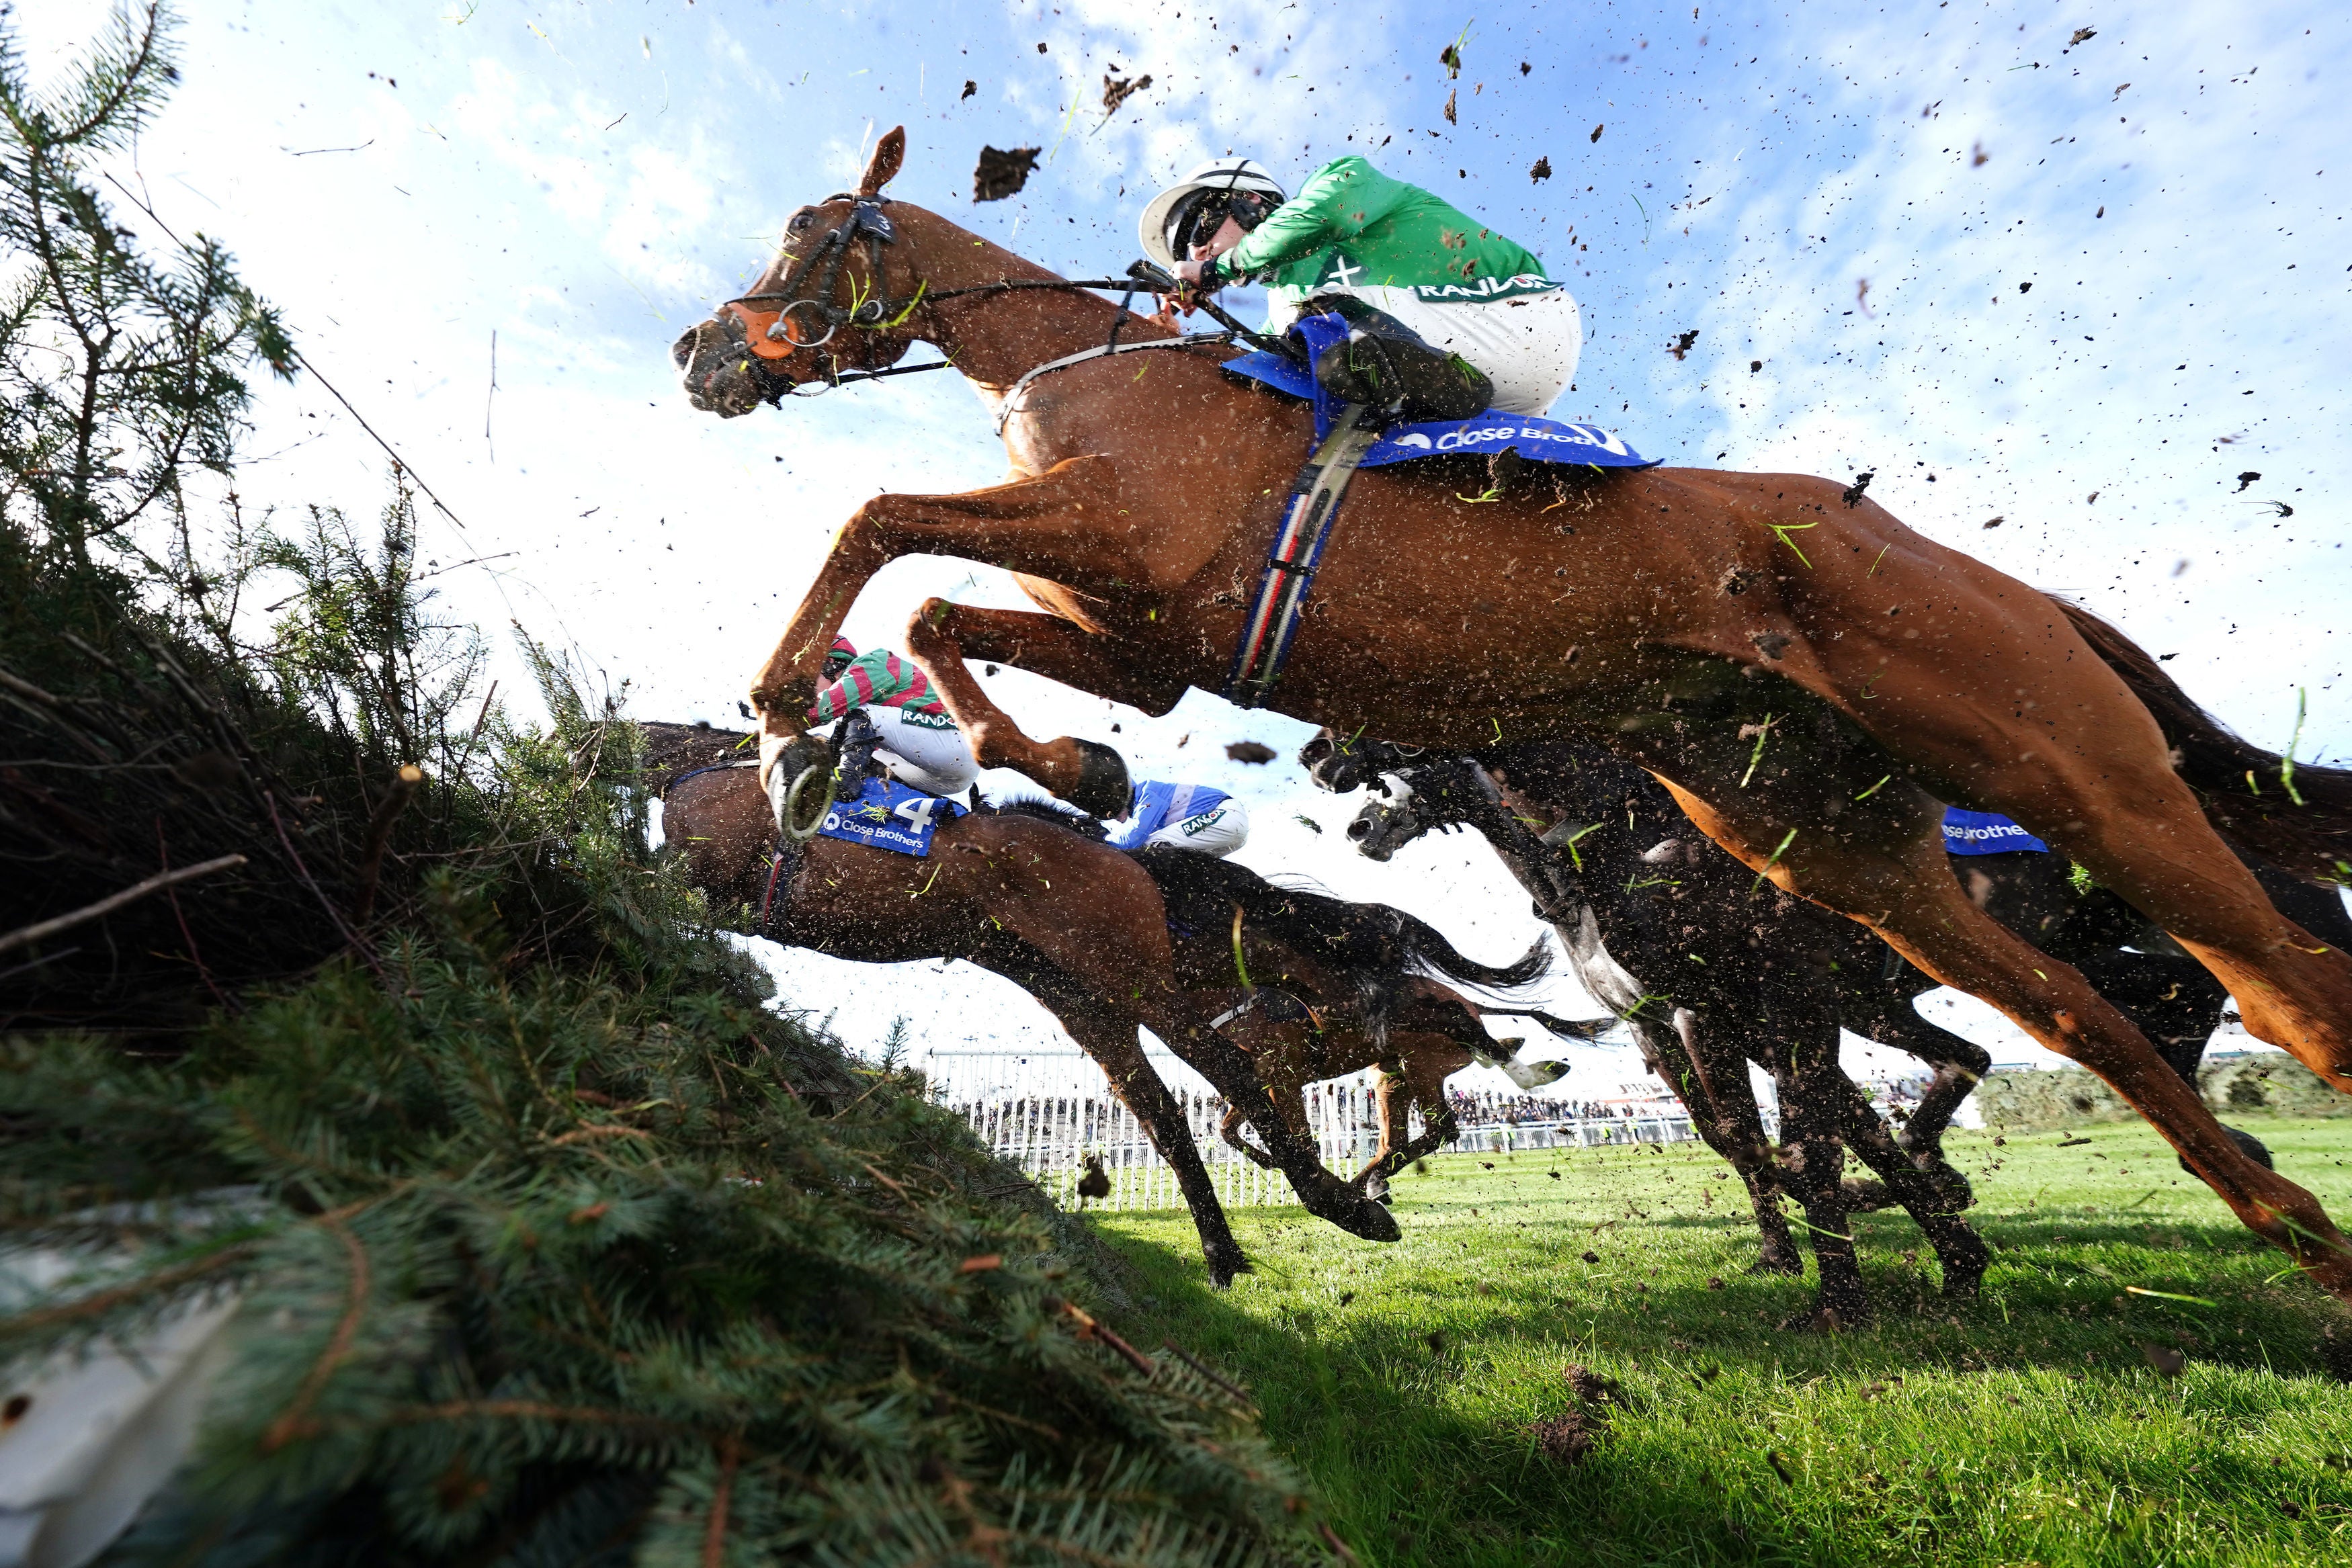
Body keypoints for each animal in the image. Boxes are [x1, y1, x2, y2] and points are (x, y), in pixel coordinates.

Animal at [1304, 736, 1992, 1324]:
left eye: (1405, 762)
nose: (1358, 825)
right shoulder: (1659, 1026)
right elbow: (1758, 1134)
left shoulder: (1717, 1011)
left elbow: (1776, 1132)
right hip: (1875, 1006)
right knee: (1965, 1057)